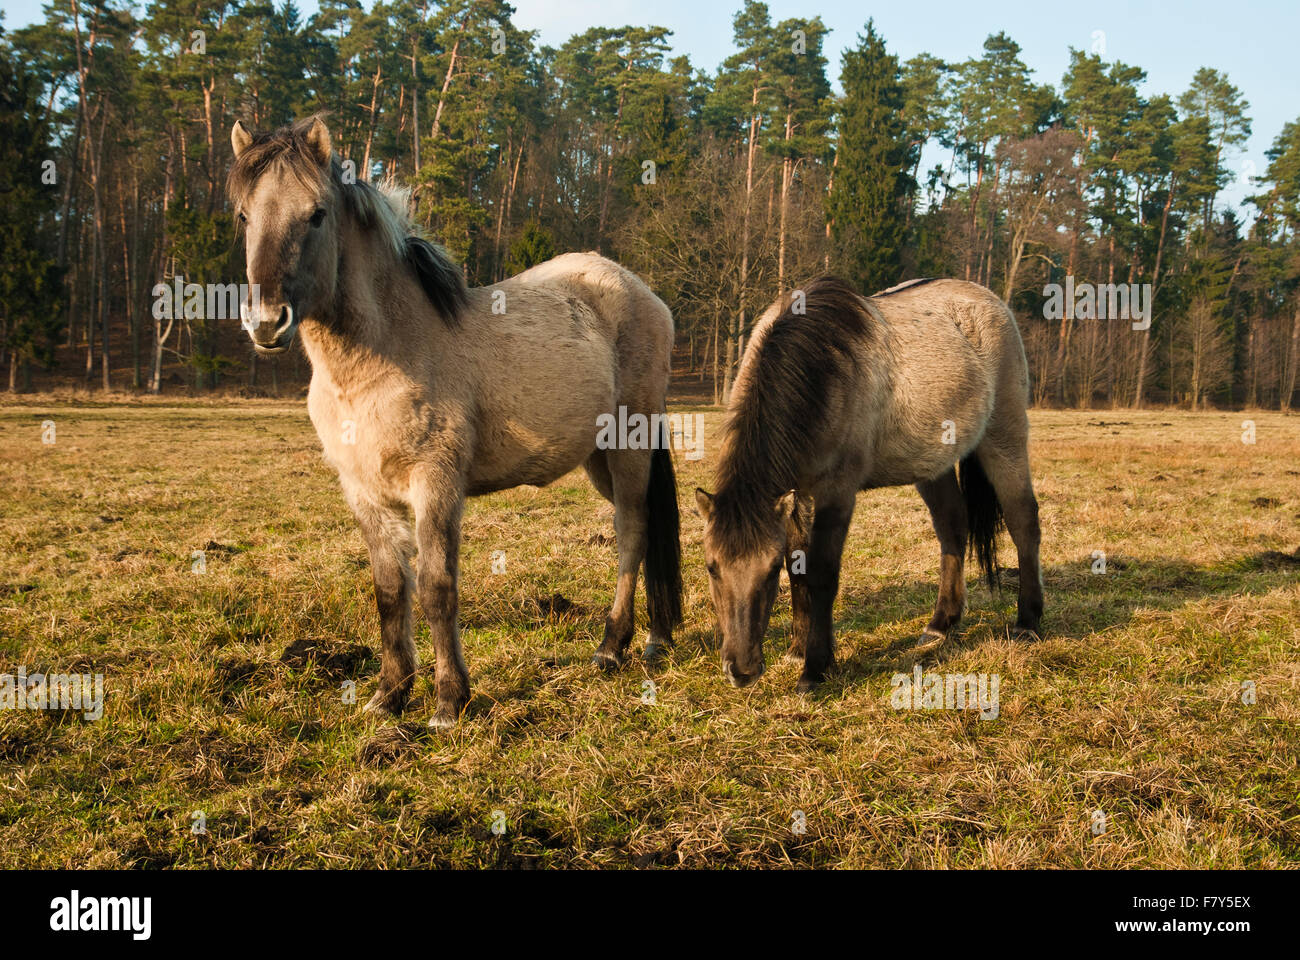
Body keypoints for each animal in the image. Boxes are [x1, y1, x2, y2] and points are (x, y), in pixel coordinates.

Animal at [228, 116, 682, 728]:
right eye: (244, 215)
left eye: (317, 213)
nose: (265, 322)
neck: (385, 355)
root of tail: (642, 293)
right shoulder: (363, 491)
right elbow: (390, 589)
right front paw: (389, 694)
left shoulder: (436, 483)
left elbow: (437, 587)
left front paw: (448, 701)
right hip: (597, 460)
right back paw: (656, 638)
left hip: (630, 445)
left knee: (632, 531)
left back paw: (613, 648)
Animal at [694, 275, 1043, 693]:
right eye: (712, 567)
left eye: (768, 570)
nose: (741, 670)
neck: (820, 371)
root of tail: (990, 302)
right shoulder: (797, 496)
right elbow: (800, 567)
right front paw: (797, 649)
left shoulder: (837, 493)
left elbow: (822, 573)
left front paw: (815, 669)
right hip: (933, 465)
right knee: (952, 528)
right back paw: (941, 624)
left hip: (1004, 438)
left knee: (1023, 522)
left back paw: (1028, 622)